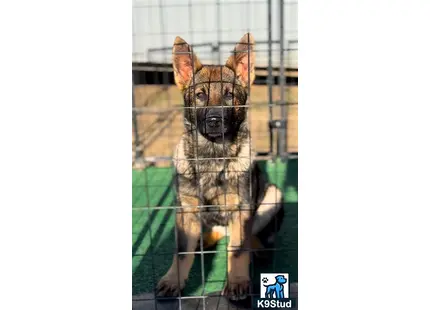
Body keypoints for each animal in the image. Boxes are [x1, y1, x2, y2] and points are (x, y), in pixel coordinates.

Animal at [156, 33, 284, 300]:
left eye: (228, 95)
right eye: (200, 95)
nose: (214, 121)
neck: (212, 158)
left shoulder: (241, 209)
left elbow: (237, 249)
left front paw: (237, 281)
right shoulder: (186, 210)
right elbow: (182, 252)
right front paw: (173, 280)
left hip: (272, 196)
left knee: (248, 237)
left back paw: (258, 249)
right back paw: (203, 242)